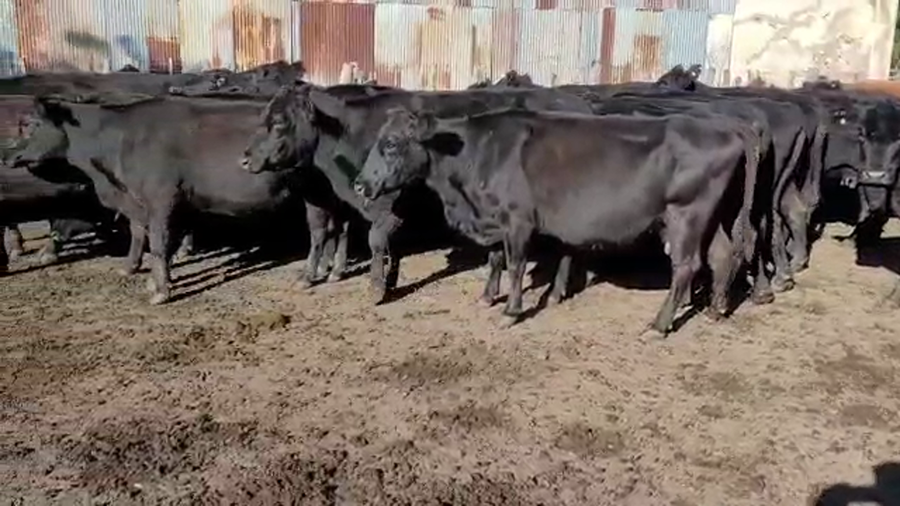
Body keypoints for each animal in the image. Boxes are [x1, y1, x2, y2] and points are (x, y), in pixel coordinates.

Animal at [7, 93, 312, 305]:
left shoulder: (161, 199)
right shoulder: (144, 202)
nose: (6, 155)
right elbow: (142, 234)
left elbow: (158, 243)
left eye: (30, 125)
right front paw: (143, 274)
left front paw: (161, 290)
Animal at [240, 84, 595, 303]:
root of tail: (577, 103)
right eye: (263, 118)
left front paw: (376, 288)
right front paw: (381, 278)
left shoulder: (391, 204)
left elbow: (374, 240)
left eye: (279, 122)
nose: (245, 158)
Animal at [353, 106, 759, 335]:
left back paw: (658, 326)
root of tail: (726, 126)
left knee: (686, 266)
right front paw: (489, 297)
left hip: (686, 213)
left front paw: (511, 311)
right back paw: (714, 310)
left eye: (391, 143)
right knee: (722, 256)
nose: (360, 183)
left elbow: (515, 264)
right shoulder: (495, 218)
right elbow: (496, 258)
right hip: (711, 216)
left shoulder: (517, 219)